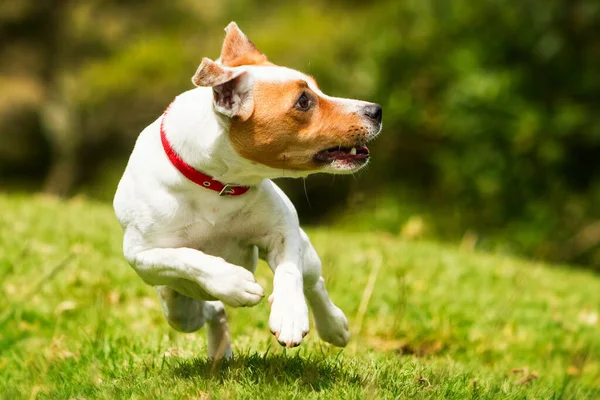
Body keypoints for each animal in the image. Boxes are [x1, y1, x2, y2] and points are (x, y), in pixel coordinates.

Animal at [115, 21, 382, 360]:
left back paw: (333, 325)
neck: (217, 184)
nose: (376, 110)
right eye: (303, 101)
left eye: (317, 89)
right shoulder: (141, 254)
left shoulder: (283, 229)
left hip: (306, 253)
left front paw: (290, 315)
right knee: (211, 311)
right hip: (178, 310)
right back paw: (220, 351)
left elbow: (290, 273)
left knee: (314, 282)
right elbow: (186, 257)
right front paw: (233, 282)